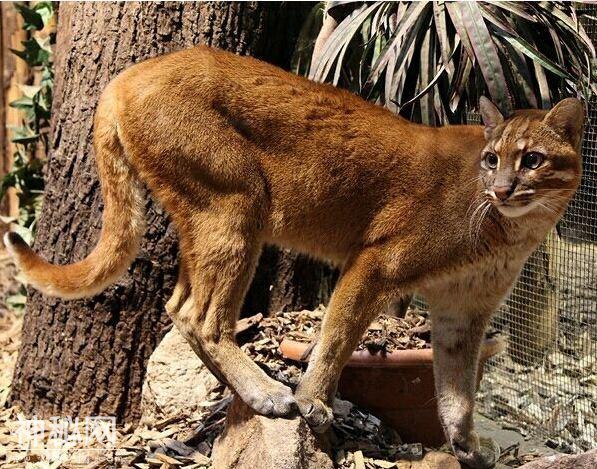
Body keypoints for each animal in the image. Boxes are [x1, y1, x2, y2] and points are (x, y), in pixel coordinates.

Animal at [5, 45, 584, 466]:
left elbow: (457, 389)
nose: (503, 189)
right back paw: (269, 393)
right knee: (201, 316)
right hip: (235, 204)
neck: (511, 231)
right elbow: (338, 338)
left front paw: (467, 447)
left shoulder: (462, 314)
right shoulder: (375, 263)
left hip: (205, 218)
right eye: (492, 159)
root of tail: (127, 76)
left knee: (177, 305)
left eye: (532, 160)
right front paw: (313, 401)